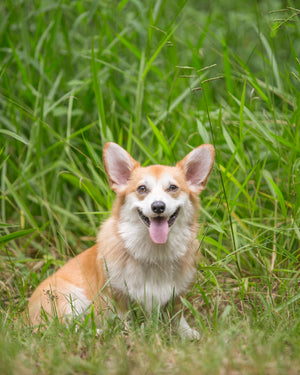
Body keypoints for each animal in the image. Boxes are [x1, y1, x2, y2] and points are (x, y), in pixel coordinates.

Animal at [28, 142, 214, 340]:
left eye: (173, 187)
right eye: (142, 189)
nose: (158, 206)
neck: (154, 253)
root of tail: (24, 316)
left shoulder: (177, 295)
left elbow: (178, 316)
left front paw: (186, 333)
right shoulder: (117, 298)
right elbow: (125, 320)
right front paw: (129, 334)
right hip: (70, 298)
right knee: (67, 329)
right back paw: (100, 333)